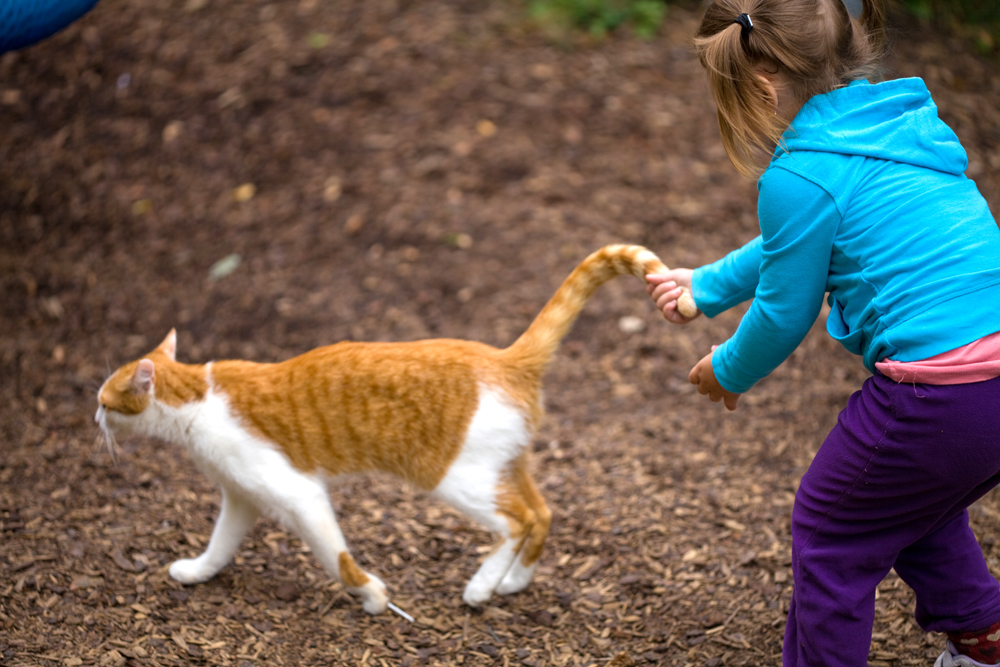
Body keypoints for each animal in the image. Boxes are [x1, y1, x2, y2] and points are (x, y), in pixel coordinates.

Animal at [97, 245, 700, 616]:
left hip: (453, 478)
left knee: (519, 520)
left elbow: (337, 558)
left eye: (104, 397)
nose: (93, 413)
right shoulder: (242, 497)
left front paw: (371, 597)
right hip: (503, 465)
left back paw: (482, 587)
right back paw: (512, 582)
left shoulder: (296, 492)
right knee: (544, 512)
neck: (196, 395)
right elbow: (220, 546)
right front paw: (196, 572)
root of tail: (506, 359)